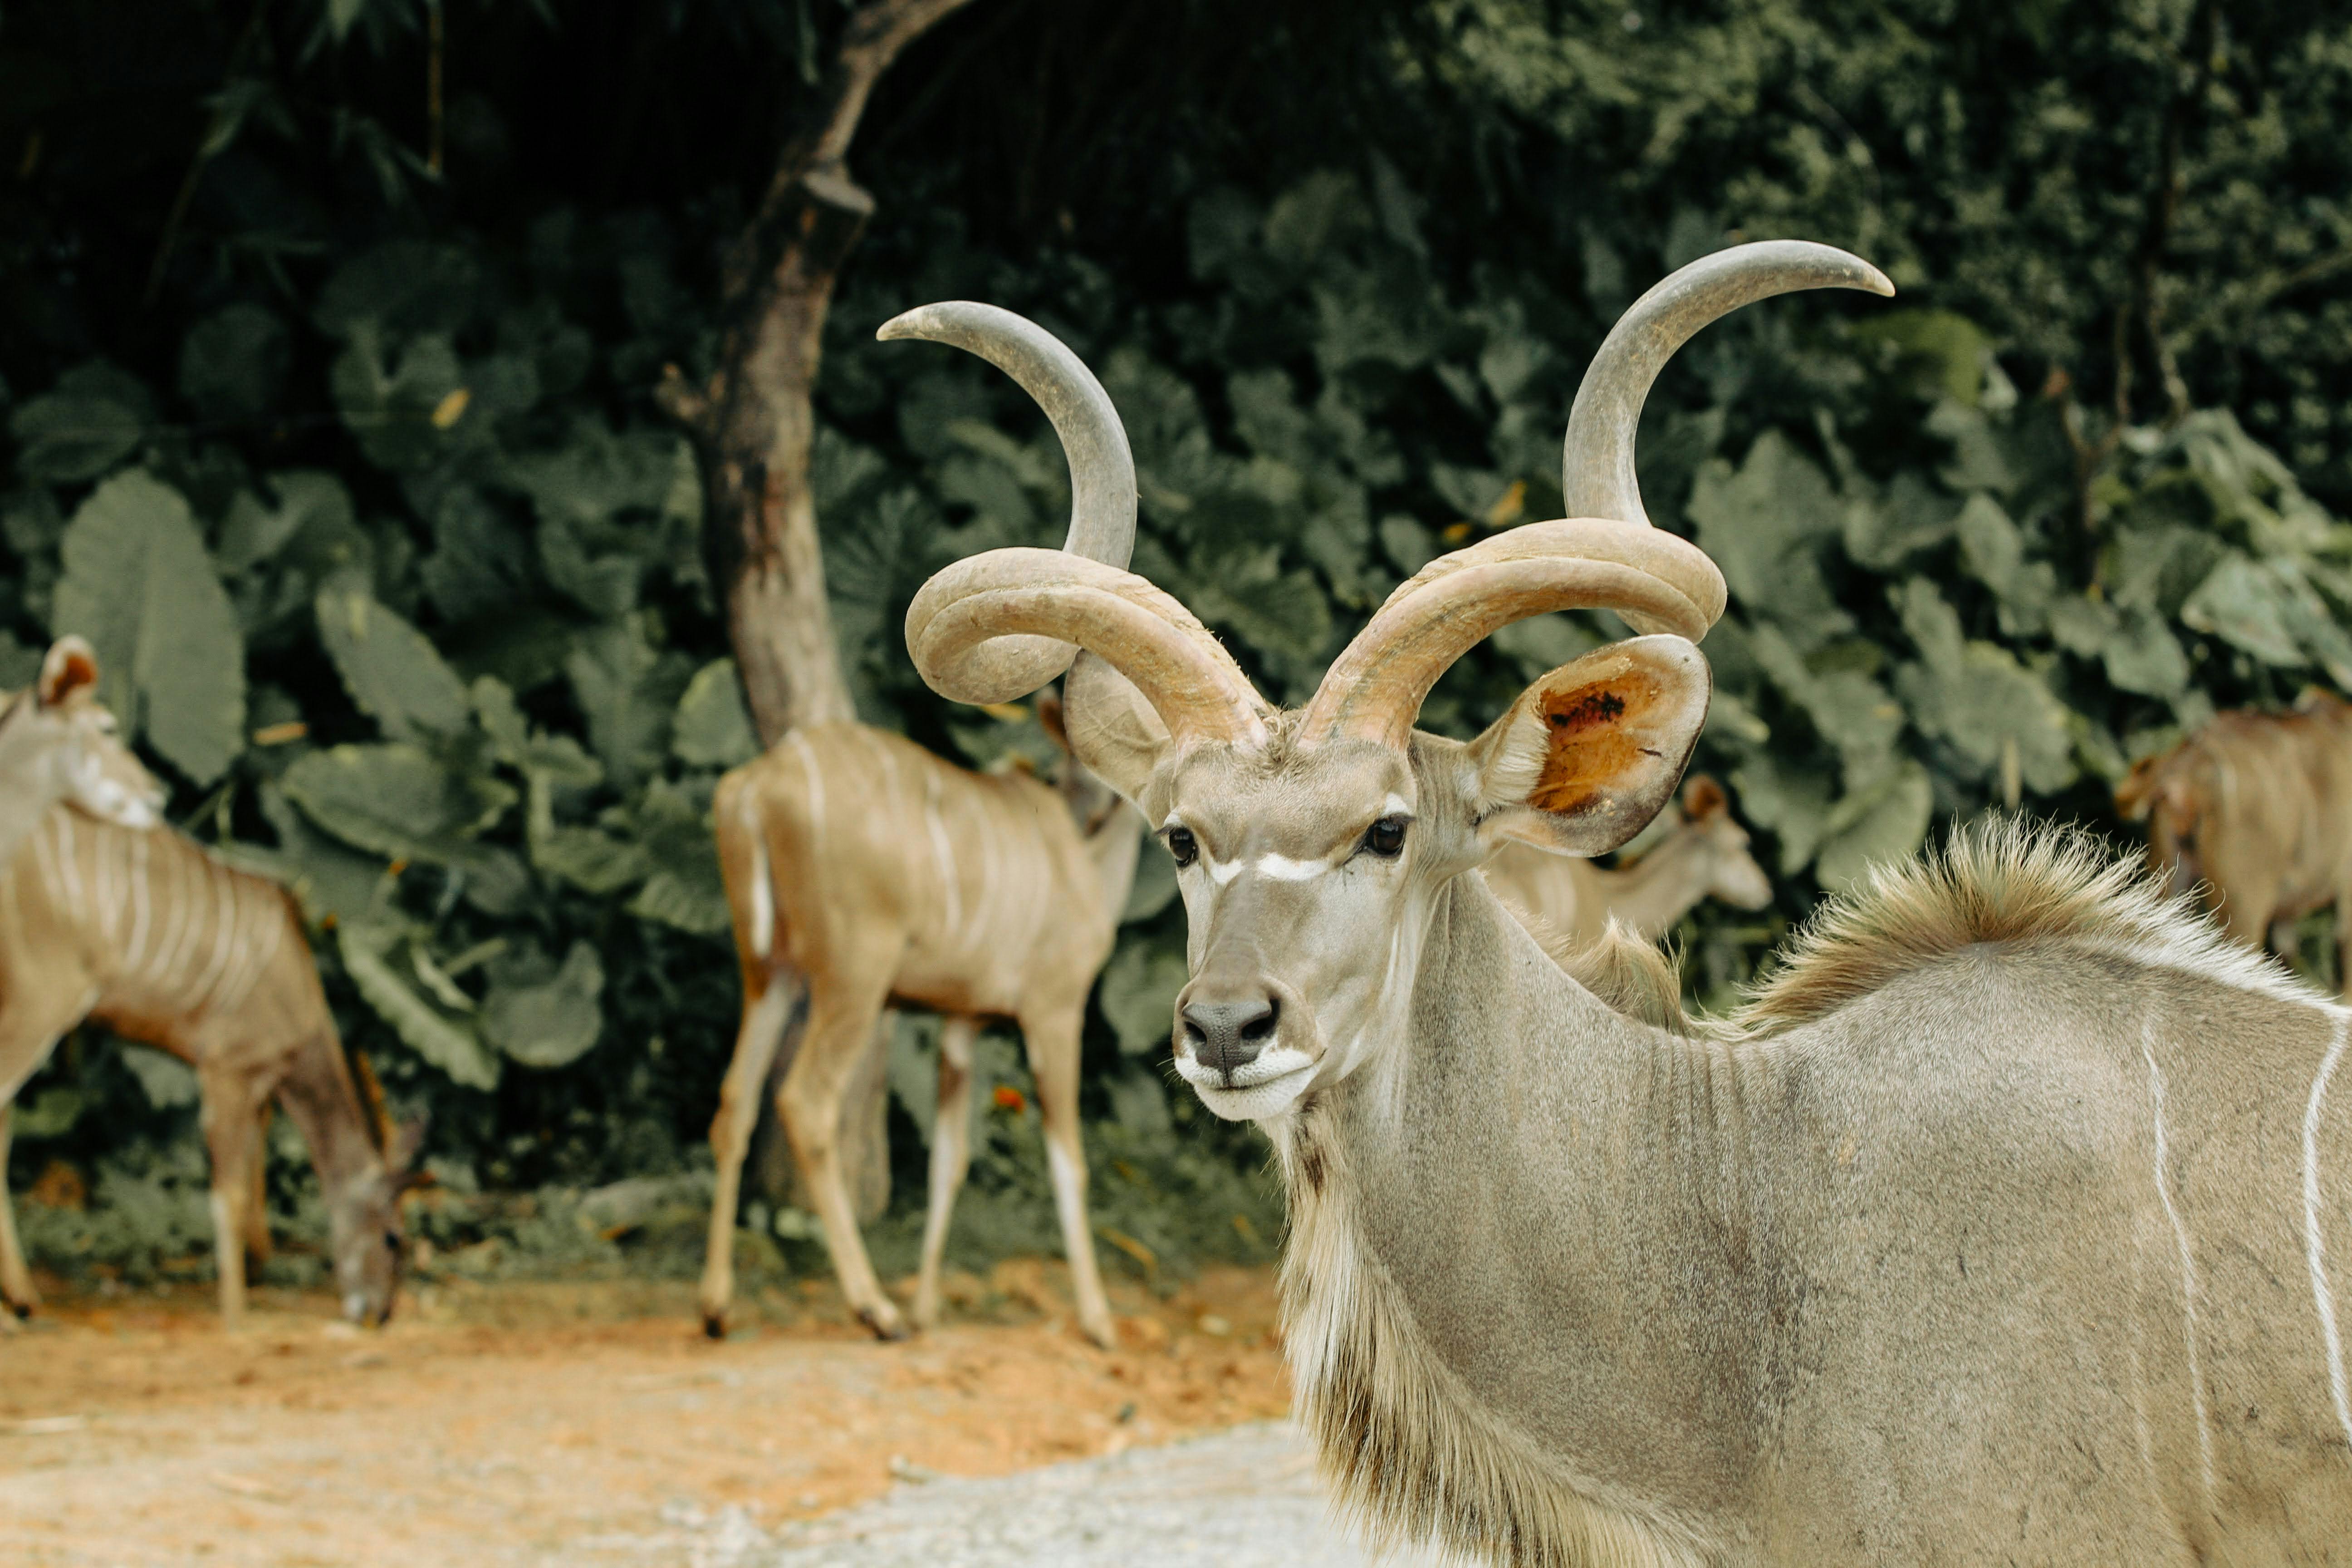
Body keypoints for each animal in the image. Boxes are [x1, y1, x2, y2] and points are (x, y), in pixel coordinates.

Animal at [0, 710, 414, 1326]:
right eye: (393, 1239)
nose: (379, 1314)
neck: (298, 989)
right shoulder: (226, 1068)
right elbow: (229, 1191)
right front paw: (236, 1313)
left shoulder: (258, 1083)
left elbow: (254, 1168)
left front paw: (259, 1265)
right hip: (41, 1005)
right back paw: (21, 1303)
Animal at [696, 305, 1138, 1354]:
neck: (1078, 851)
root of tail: (759, 787)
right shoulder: (1051, 1013)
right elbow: (1068, 1157)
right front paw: (1098, 1320)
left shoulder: (960, 1022)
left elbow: (948, 1155)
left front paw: (938, 1300)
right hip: (849, 981)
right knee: (803, 1105)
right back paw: (874, 1308)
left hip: (770, 972)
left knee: (732, 1103)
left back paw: (719, 1305)